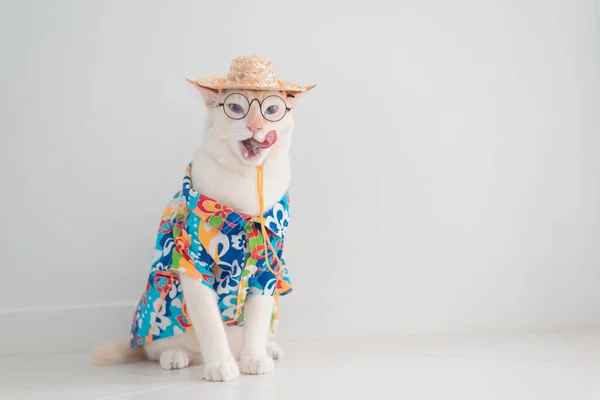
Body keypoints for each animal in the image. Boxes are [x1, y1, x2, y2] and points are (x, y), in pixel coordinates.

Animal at [92, 60, 314, 382]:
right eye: (236, 107)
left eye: (272, 110)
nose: (256, 127)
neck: (247, 184)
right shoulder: (192, 264)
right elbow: (211, 325)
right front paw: (220, 365)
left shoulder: (266, 268)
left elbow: (257, 323)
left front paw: (254, 358)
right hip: (158, 307)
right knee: (156, 348)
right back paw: (178, 356)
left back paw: (268, 349)